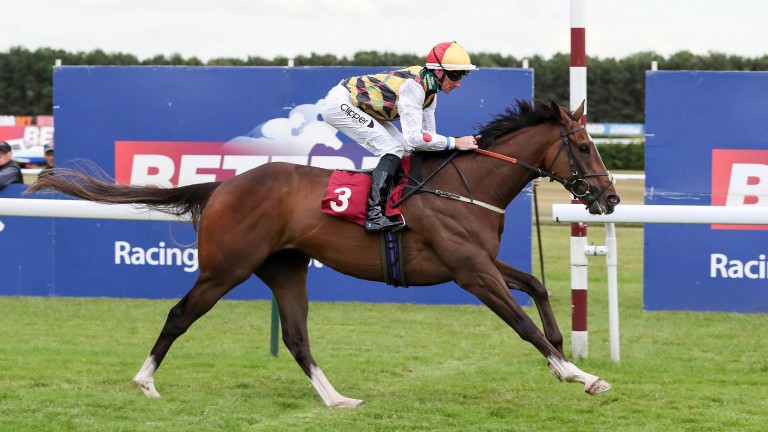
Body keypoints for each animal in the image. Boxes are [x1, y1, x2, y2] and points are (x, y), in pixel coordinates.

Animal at [27, 98, 620, 408]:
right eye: (584, 146)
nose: (611, 198)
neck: (464, 185)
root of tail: (223, 186)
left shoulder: (479, 261)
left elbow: (537, 287)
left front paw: (565, 358)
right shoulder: (469, 270)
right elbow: (520, 323)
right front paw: (577, 374)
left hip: (285, 269)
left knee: (296, 335)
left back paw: (336, 399)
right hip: (226, 268)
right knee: (179, 314)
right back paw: (145, 381)